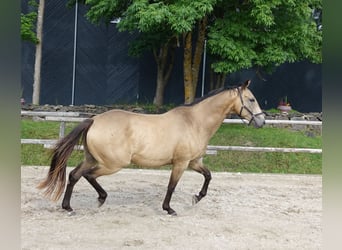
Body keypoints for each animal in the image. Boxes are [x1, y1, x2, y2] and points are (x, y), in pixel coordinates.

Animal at [38, 79, 266, 215]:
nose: (261, 121)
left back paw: (72, 206)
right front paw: (169, 209)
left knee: (74, 175)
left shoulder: (194, 161)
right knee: (86, 176)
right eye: (251, 99)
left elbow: (208, 176)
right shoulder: (181, 163)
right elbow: (172, 186)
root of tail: (94, 120)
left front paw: (197, 198)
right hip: (112, 164)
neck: (194, 121)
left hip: (92, 159)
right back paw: (93, 200)